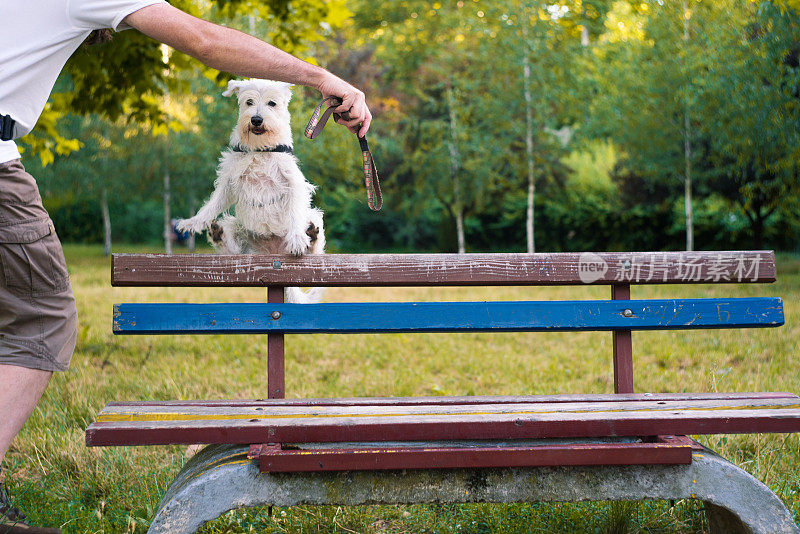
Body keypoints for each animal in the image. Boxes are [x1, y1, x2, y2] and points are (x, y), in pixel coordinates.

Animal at [177, 79, 324, 306]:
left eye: (272, 103)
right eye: (249, 102)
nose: (256, 119)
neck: (260, 149)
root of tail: (274, 254)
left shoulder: (293, 183)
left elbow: (294, 213)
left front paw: (298, 239)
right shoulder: (228, 183)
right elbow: (211, 205)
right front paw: (192, 223)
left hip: (314, 217)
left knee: (315, 248)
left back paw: (310, 235)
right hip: (240, 232)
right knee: (233, 251)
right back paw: (219, 235)